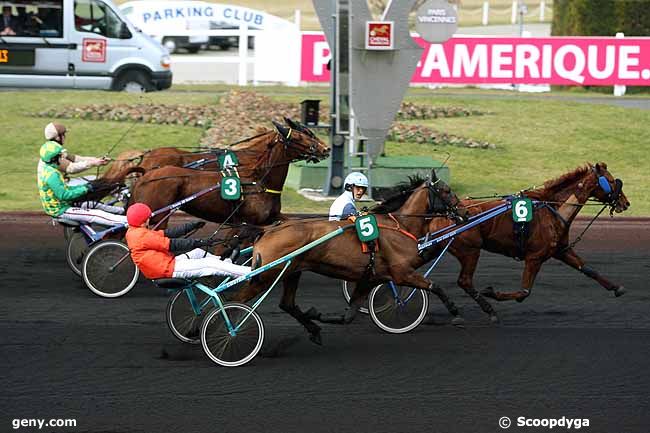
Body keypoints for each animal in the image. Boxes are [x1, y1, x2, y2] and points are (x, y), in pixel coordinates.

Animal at [127, 120, 330, 224]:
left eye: (310, 132)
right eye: (298, 137)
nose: (326, 149)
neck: (260, 181)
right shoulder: (248, 222)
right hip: (157, 214)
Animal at [227, 173, 466, 344]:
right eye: (446, 190)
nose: (463, 212)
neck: (399, 225)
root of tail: (267, 230)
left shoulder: (371, 278)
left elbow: (349, 315)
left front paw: (317, 315)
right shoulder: (402, 273)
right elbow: (435, 286)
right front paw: (456, 312)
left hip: (292, 272)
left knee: (287, 304)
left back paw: (314, 330)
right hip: (266, 276)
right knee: (236, 300)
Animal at [426, 160, 628, 318]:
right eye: (611, 181)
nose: (626, 203)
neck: (553, 210)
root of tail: (443, 214)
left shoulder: (561, 250)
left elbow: (588, 269)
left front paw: (616, 287)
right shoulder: (535, 257)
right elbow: (524, 292)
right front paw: (492, 292)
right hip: (470, 251)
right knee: (464, 281)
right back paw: (486, 309)